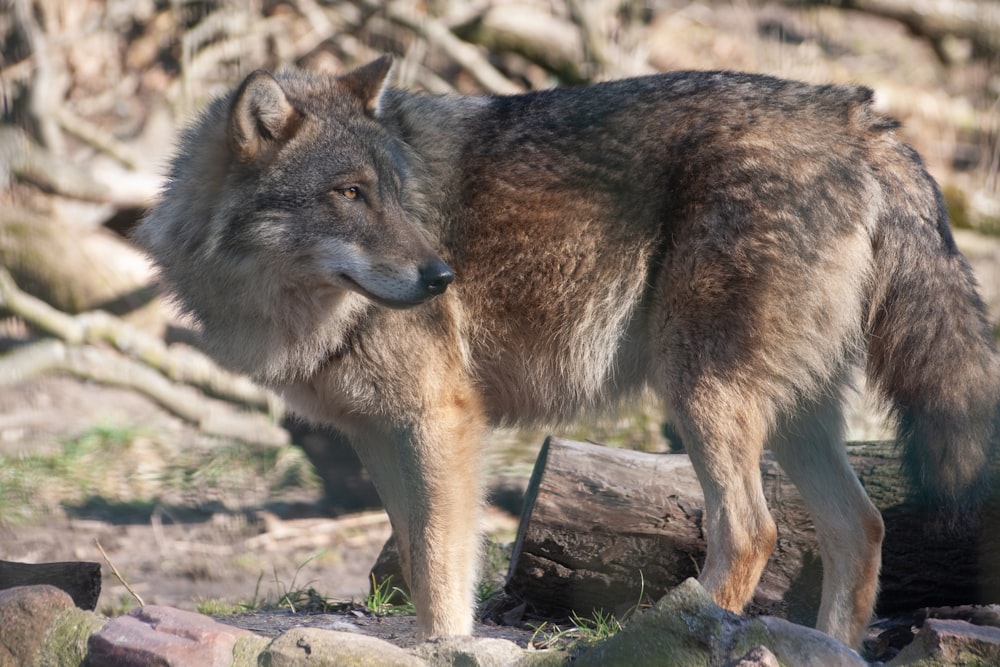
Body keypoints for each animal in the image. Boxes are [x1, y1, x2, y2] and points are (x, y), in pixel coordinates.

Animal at [135, 54, 1000, 648]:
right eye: (349, 193)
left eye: (394, 193)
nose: (441, 276)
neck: (294, 311)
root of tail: (854, 114)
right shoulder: (380, 435)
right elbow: (418, 559)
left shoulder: (441, 421)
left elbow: (442, 568)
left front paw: (445, 647)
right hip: (789, 414)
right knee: (863, 527)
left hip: (702, 395)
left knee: (753, 531)